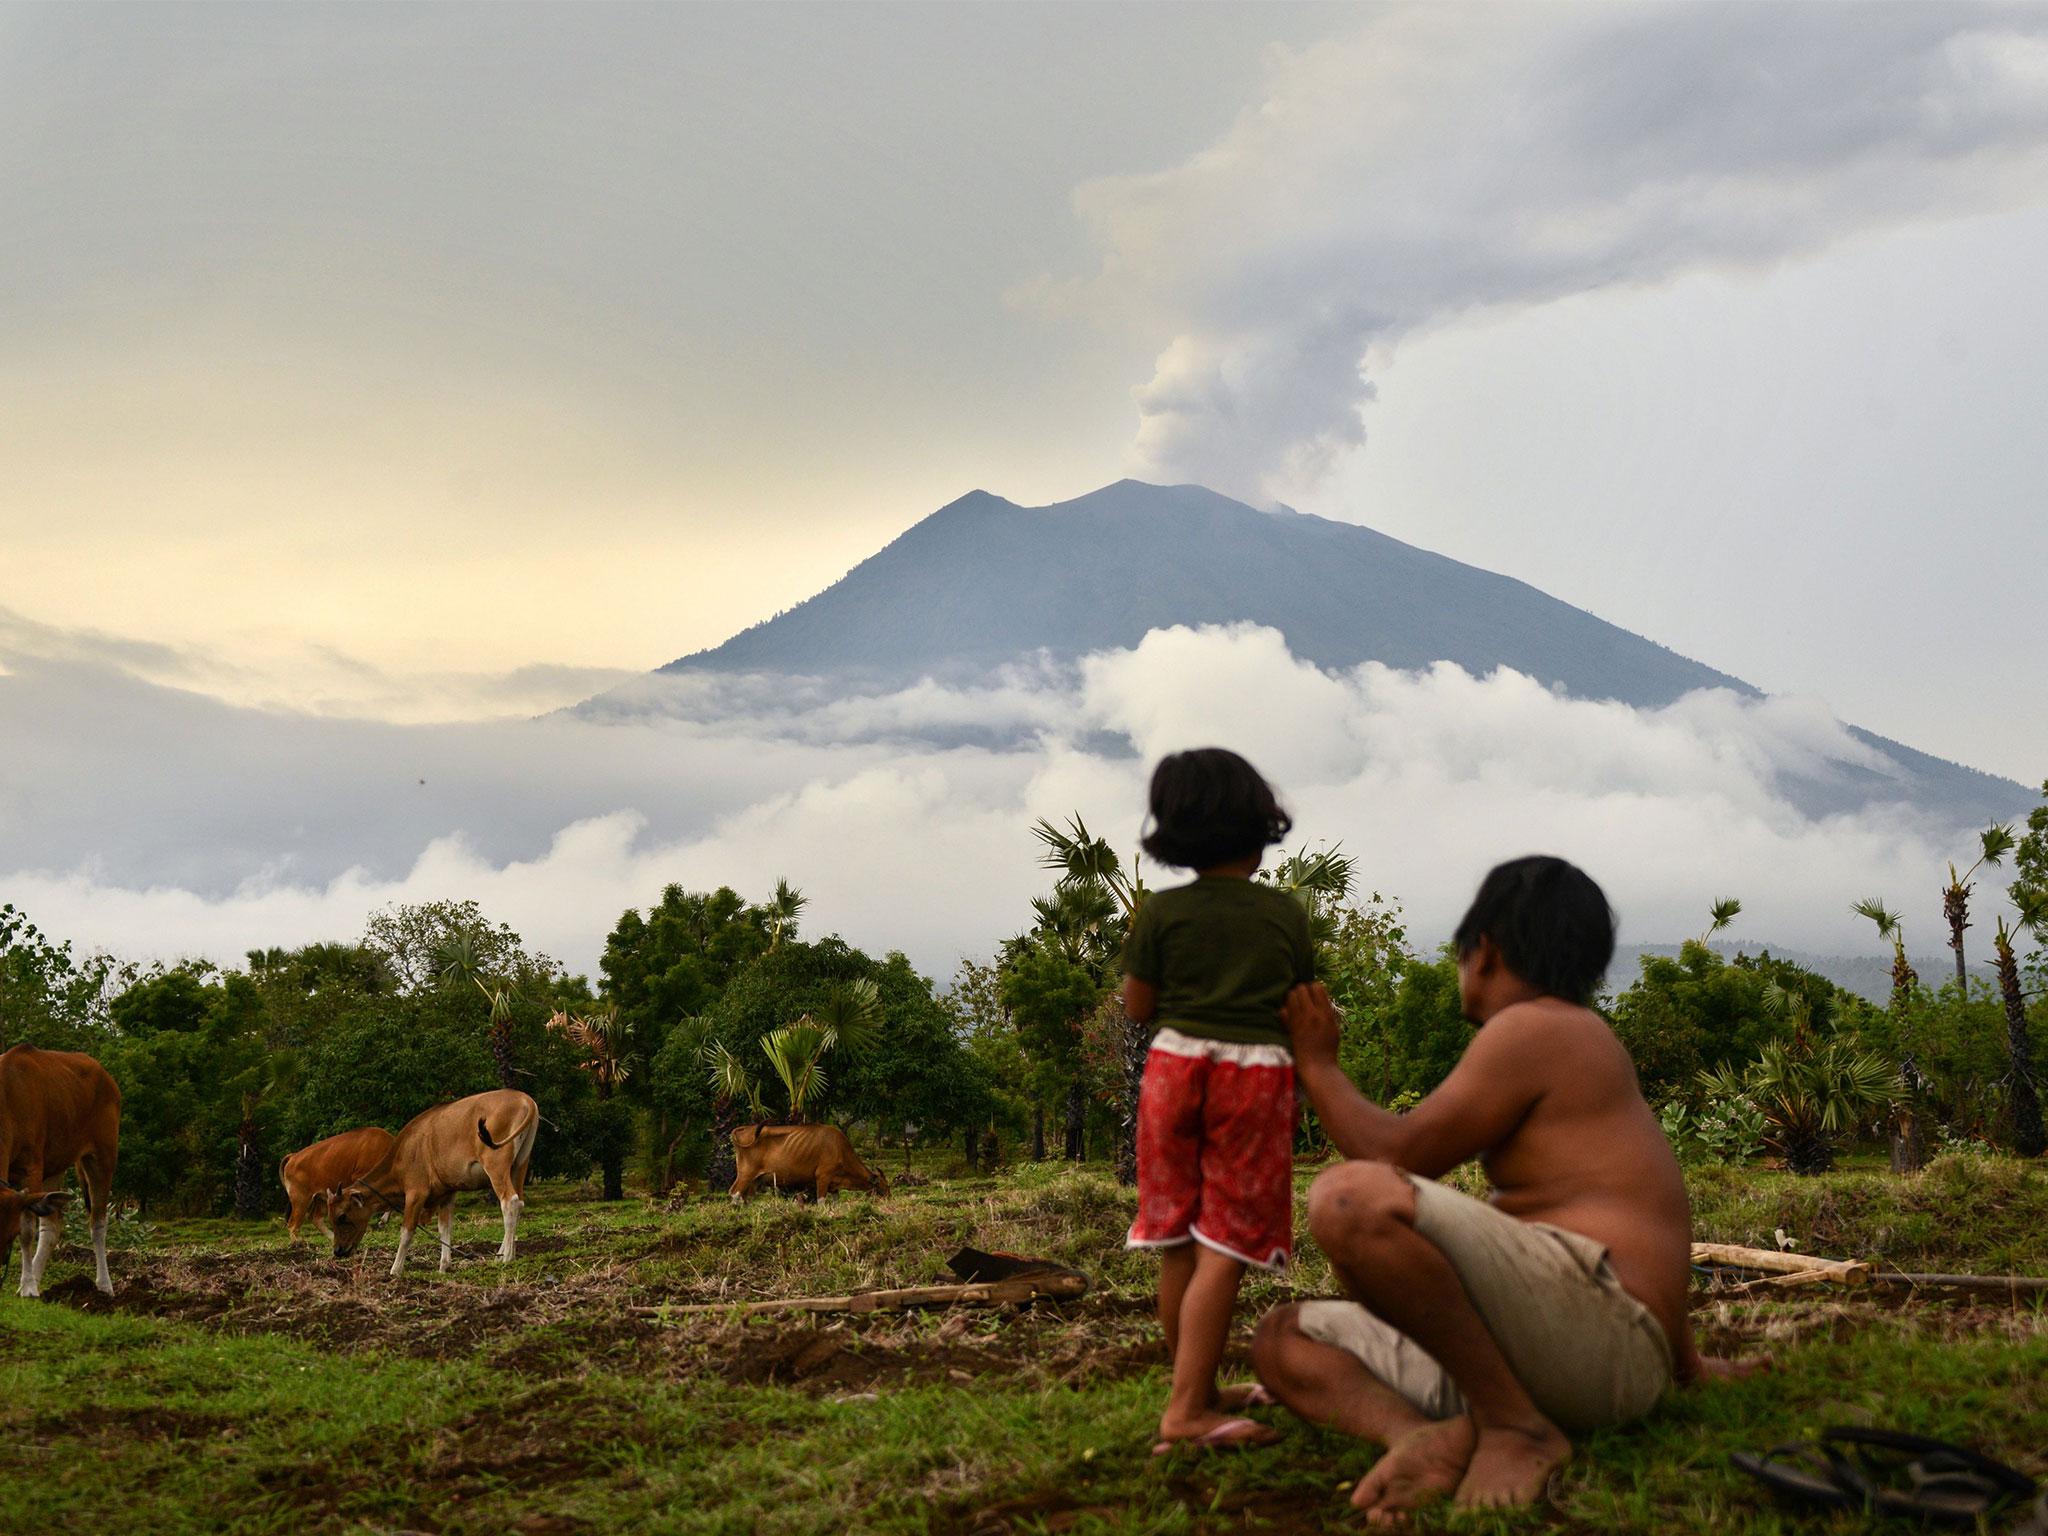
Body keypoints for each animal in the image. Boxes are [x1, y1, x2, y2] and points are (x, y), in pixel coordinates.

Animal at [0, 1048, 121, 1302]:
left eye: (10, 1233)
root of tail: (108, 1079)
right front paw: (29, 1284)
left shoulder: (31, 1169)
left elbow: (27, 1230)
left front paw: (27, 1287)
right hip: (54, 1168)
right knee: (51, 1226)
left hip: (103, 1157)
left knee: (98, 1223)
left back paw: (104, 1285)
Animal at [325, 1089, 536, 1277]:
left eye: (342, 1216)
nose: (338, 1250)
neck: (403, 1154)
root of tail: (525, 1099)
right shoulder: (448, 1193)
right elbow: (445, 1227)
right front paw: (444, 1265)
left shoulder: (416, 1193)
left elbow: (407, 1231)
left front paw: (396, 1269)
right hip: (520, 1165)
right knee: (520, 1202)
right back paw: (503, 1253)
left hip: (496, 1164)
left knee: (509, 1202)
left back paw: (507, 1257)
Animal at [729, 1130, 888, 1204]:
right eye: (884, 1186)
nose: (889, 1197)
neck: (840, 1149)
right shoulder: (823, 1177)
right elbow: (821, 1201)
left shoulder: (834, 1184)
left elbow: (836, 1201)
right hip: (746, 1174)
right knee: (735, 1192)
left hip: (755, 1180)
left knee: (747, 1196)